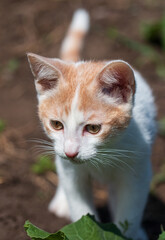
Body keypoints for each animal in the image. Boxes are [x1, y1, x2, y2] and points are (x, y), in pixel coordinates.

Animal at [27, 8, 156, 240]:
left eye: (94, 128)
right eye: (56, 124)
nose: (71, 152)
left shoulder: (138, 170)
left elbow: (130, 211)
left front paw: (128, 233)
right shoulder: (72, 171)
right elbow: (80, 209)